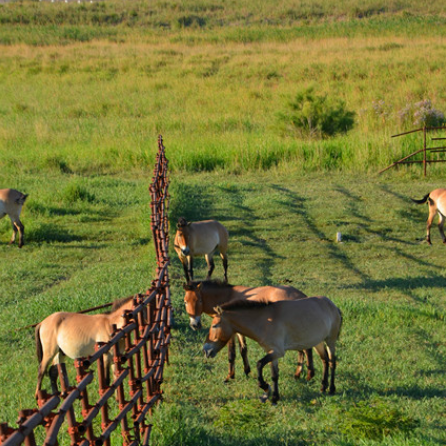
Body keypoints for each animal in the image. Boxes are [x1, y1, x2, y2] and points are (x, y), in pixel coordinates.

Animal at [183, 280, 316, 382]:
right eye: (185, 301)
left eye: (200, 301)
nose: (195, 325)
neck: (228, 296)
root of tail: (301, 296)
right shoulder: (239, 331)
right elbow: (243, 349)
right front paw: (246, 371)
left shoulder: (231, 332)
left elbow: (232, 354)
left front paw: (230, 376)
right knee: (302, 349)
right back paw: (298, 374)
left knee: (305, 350)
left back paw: (306, 375)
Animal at [202, 298, 342, 406]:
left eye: (214, 326)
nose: (206, 350)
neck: (264, 322)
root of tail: (333, 305)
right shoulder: (272, 353)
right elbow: (274, 375)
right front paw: (274, 397)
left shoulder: (277, 352)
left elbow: (259, 364)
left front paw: (265, 389)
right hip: (318, 342)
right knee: (325, 361)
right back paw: (323, 387)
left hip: (330, 341)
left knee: (332, 363)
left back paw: (331, 389)